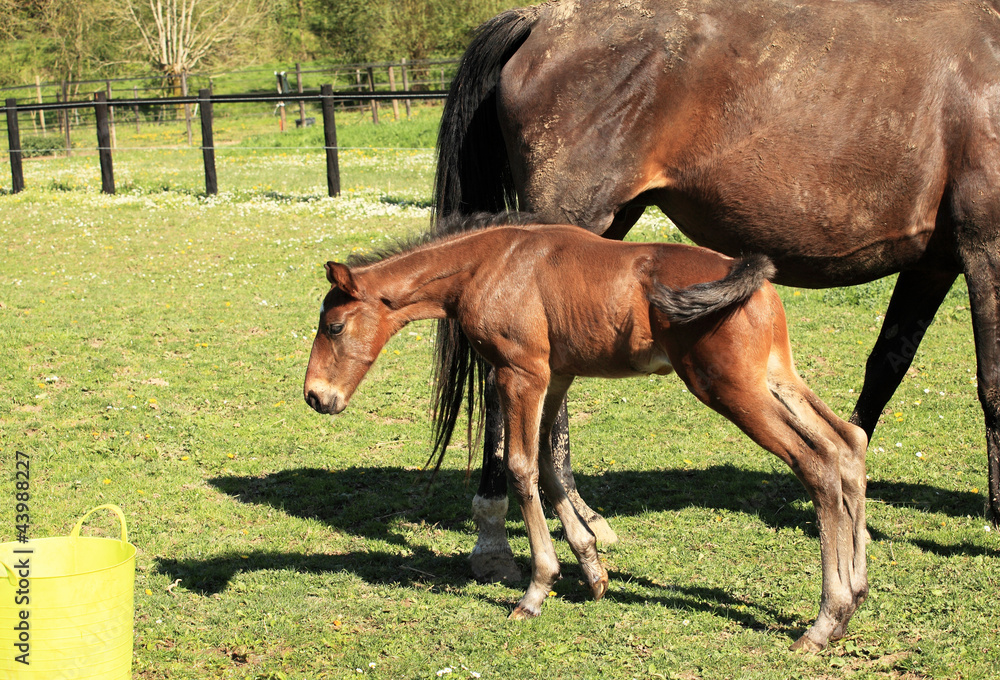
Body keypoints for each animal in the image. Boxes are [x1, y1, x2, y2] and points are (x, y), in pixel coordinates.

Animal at [303, 214, 869, 652]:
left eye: (334, 327)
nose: (315, 396)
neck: (490, 264)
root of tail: (752, 276)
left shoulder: (521, 373)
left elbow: (522, 468)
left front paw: (537, 590)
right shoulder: (557, 376)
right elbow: (550, 466)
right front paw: (593, 569)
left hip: (731, 389)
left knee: (816, 464)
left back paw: (825, 620)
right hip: (775, 376)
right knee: (847, 444)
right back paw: (856, 595)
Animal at [432, 0, 1000, 582]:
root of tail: (540, 20)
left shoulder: (932, 265)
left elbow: (884, 371)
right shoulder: (987, 247)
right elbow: (992, 383)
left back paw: (577, 521)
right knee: (506, 384)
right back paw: (497, 537)